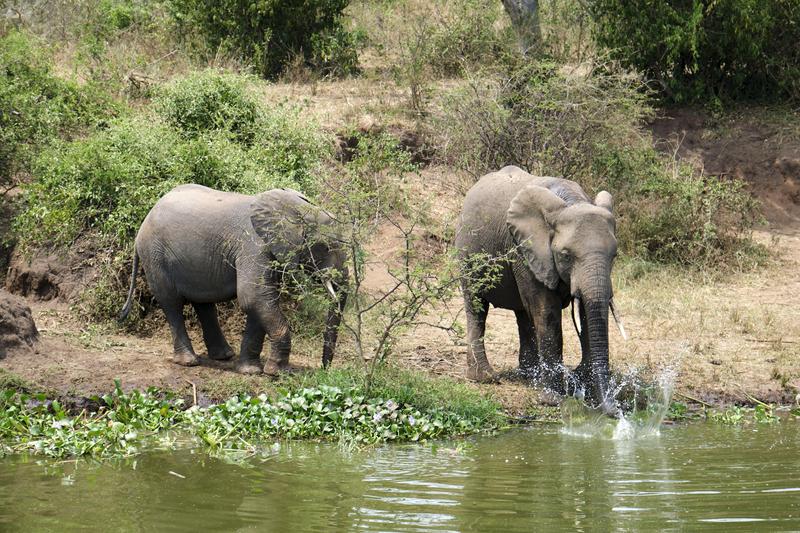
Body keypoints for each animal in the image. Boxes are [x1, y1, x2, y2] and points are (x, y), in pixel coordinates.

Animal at [118, 183, 346, 374]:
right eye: (326, 247)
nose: (324, 369)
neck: (294, 207)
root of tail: (147, 217)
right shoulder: (254, 247)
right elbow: (254, 298)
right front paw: (277, 373)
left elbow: (260, 301)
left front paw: (251, 371)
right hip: (154, 255)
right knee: (171, 303)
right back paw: (189, 362)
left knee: (203, 304)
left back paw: (224, 356)